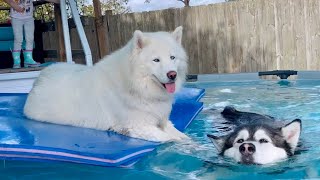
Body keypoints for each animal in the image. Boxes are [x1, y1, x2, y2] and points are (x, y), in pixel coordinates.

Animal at [25, 26, 190, 142]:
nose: (172, 75)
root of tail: (41, 75)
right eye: (156, 60)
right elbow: (172, 139)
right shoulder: (138, 126)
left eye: (172, 57)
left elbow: (184, 137)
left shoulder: (163, 121)